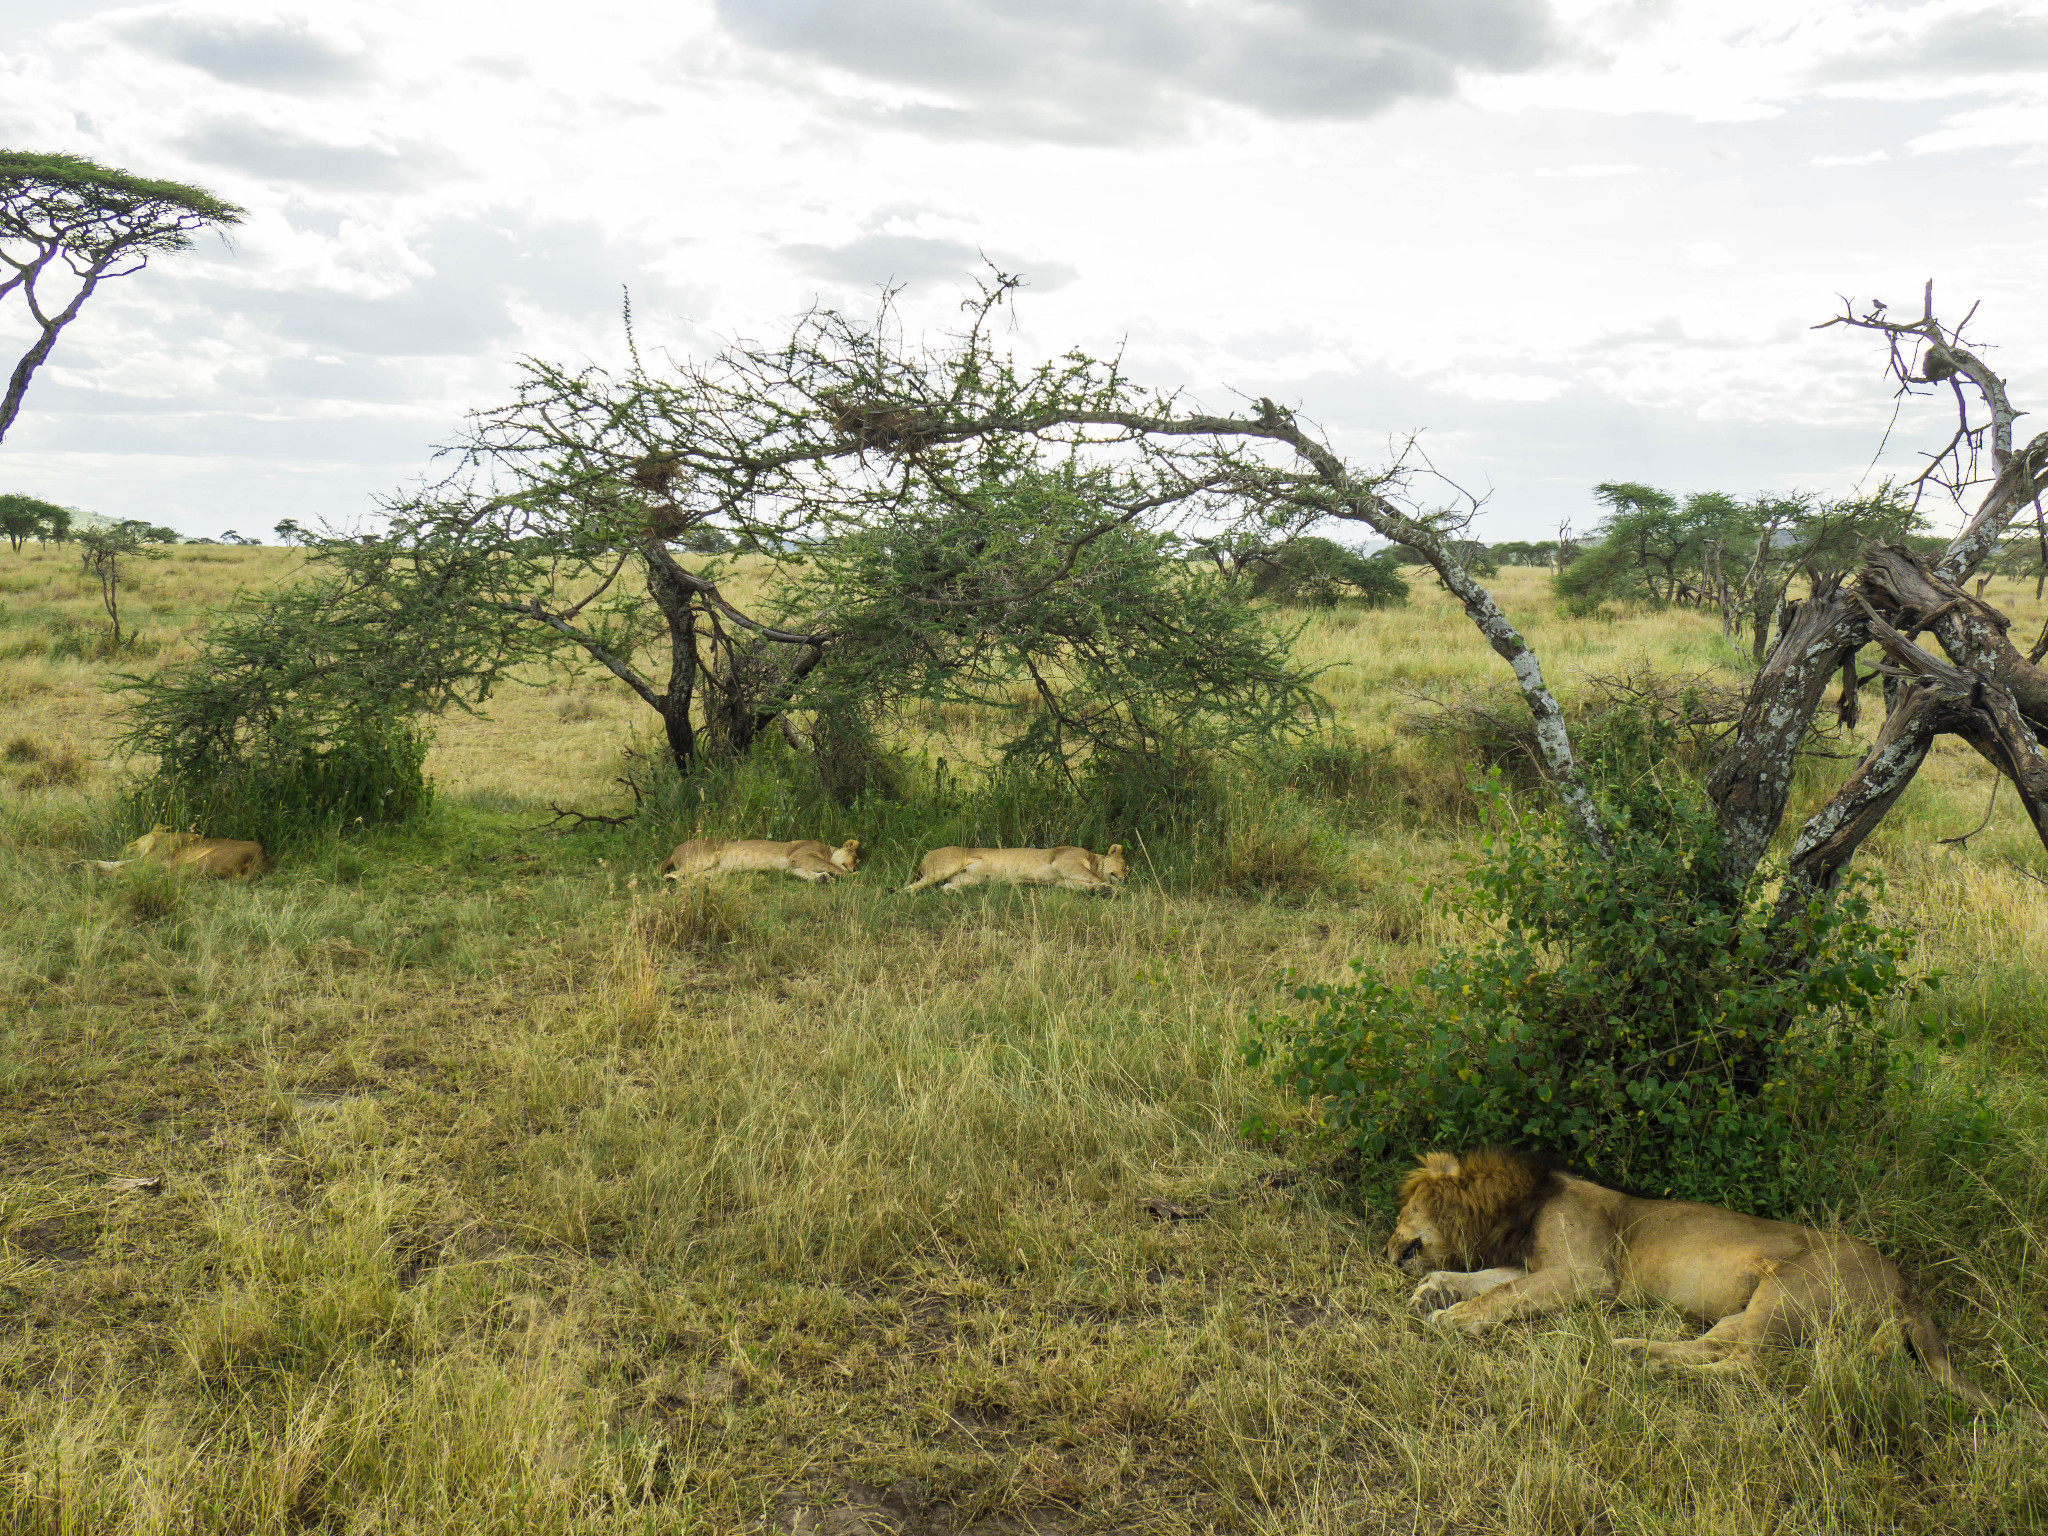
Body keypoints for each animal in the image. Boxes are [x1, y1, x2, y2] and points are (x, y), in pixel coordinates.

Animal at [897, 843, 1122, 901]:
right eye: (1125, 866)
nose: (1126, 877)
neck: (1093, 859)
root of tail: (926, 854)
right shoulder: (1067, 863)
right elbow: (1093, 877)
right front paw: (1117, 890)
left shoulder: (1062, 880)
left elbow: (1084, 884)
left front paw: (1104, 891)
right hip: (945, 866)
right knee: (909, 887)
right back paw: (905, 894)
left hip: (967, 879)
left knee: (945, 887)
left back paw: (955, 893)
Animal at [1376, 1146, 2015, 1417]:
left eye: (1403, 1212)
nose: (1385, 1251)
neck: (1514, 1208)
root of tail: (1905, 1283)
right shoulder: (1544, 1268)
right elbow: (1483, 1278)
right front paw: (1434, 1290)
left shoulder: (1587, 1274)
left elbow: (1500, 1293)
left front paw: (1450, 1318)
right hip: (1755, 1306)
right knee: (1716, 1345)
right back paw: (1635, 1352)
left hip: (1788, 1293)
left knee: (1749, 1367)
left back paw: (1655, 1369)